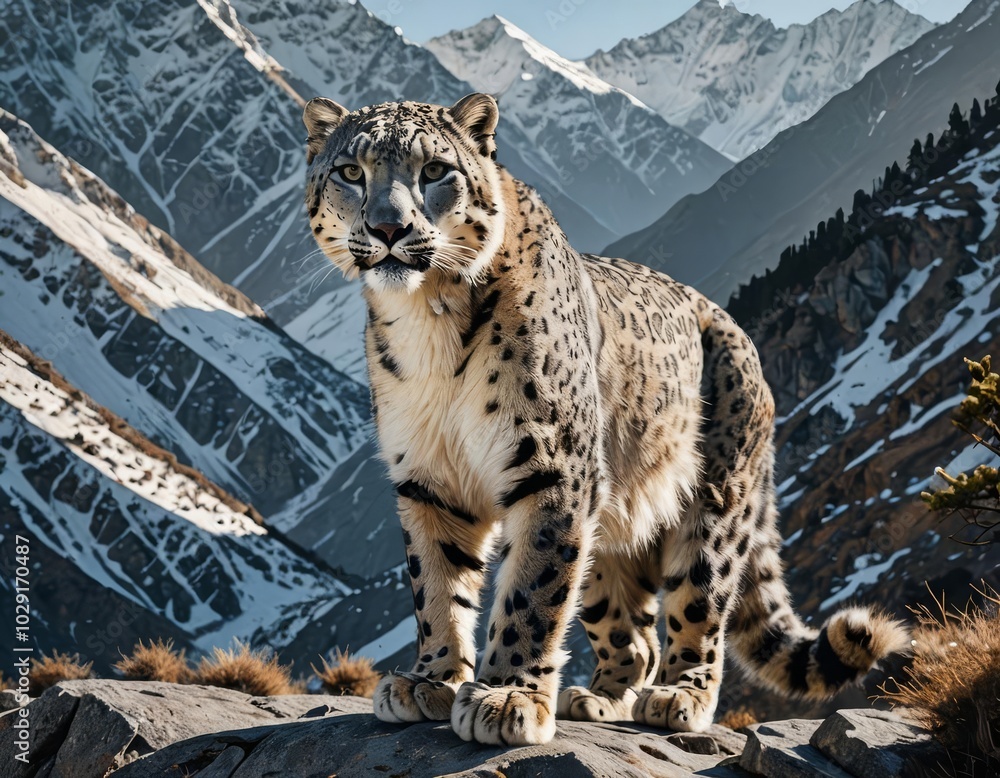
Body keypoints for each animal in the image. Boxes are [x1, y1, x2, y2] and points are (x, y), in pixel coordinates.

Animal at [302, 92, 910, 746]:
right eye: (350, 172)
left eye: (436, 170)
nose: (388, 228)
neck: (427, 321)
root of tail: (734, 327)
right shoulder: (429, 477)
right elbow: (436, 584)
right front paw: (429, 679)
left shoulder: (552, 466)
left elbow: (531, 591)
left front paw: (505, 696)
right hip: (611, 522)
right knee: (632, 632)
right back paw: (600, 696)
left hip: (714, 501)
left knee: (700, 605)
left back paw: (676, 696)